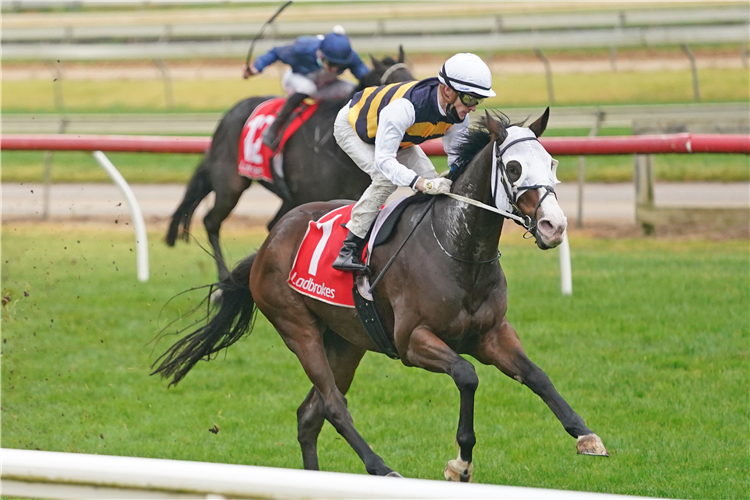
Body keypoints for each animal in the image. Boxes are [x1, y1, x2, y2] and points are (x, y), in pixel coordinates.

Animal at [154, 110, 612, 480]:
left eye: (550, 161)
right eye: (514, 168)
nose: (554, 225)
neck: (459, 250)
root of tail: (268, 242)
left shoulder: (491, 334)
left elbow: (536, 375)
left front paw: (586, 435)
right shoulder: (412, 341)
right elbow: (467, 375)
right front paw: (460, 462)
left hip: (346, 342)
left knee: (309, 415)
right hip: (298, 328)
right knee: (333, 406)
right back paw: (381, 467)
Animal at [167, 48, 414, 280]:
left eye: (412, 79)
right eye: (392, 88)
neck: (335, 149)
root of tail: (227, 116)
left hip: (286, 198)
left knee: (269, 224)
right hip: (231, 185)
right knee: (211, 221)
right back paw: (224, 277)